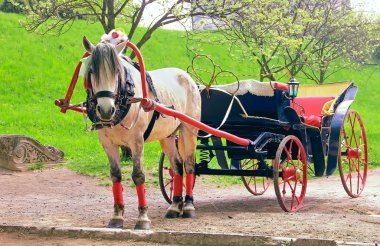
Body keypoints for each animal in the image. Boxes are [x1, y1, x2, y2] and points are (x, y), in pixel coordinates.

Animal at [82, 37, 202, 231]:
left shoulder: (136, 141)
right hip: (167, 136)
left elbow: (138, 176)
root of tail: (188, 78)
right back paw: (175, 205)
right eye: (92, 71)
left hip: (189, 130)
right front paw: (117, 216)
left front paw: (143, 218)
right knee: (177, 165)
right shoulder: (107, 143)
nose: (106, 110)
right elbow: (115, 175)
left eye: (117, 71)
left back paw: (189, 206)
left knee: (189, 164)